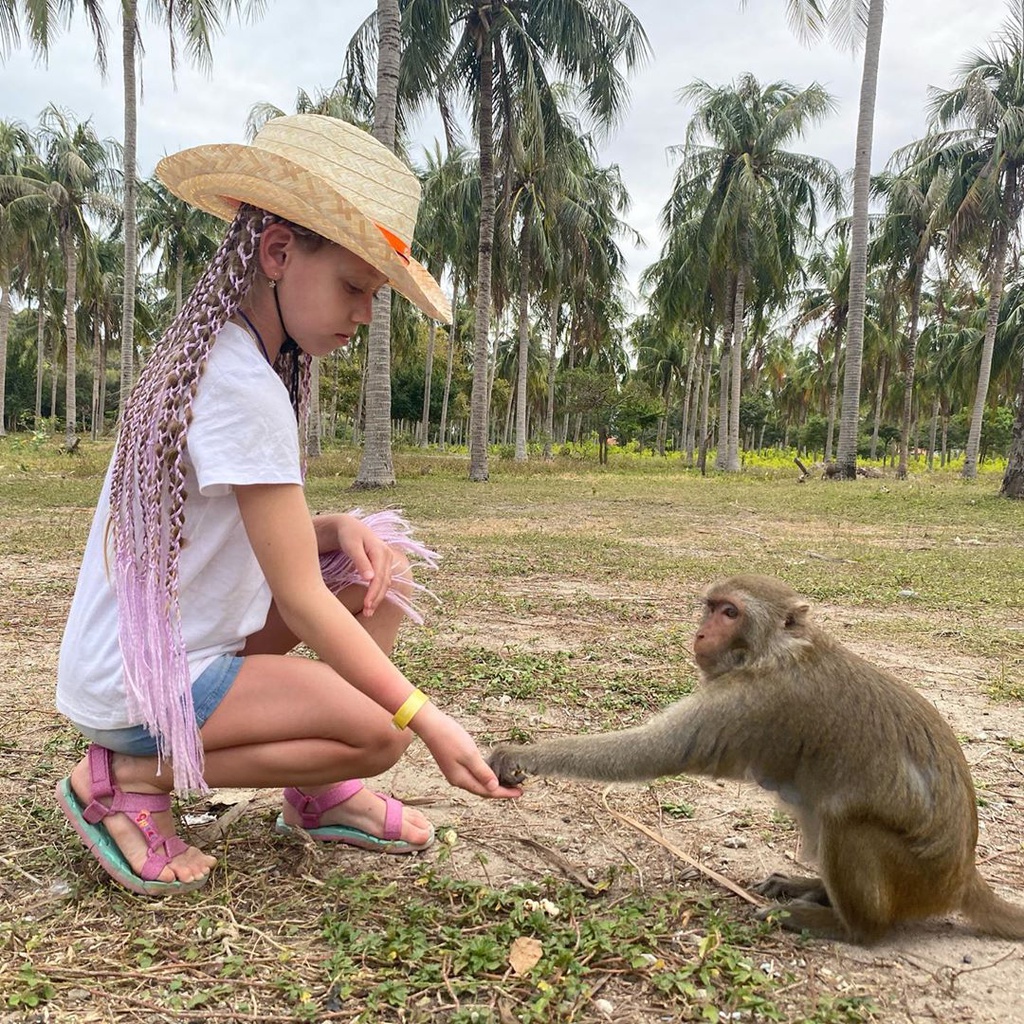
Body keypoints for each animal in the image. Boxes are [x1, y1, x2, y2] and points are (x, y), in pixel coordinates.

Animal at [485, 577, 1024, 942]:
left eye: (730, 612)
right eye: (710, 608)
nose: (701, 634)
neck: (776, 651)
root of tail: (962, 876)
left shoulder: (751, 703)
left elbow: (653, 752)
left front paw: (523, 754)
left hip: (915, 875)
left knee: (845, 821)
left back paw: (846, 925)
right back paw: (813, 888)